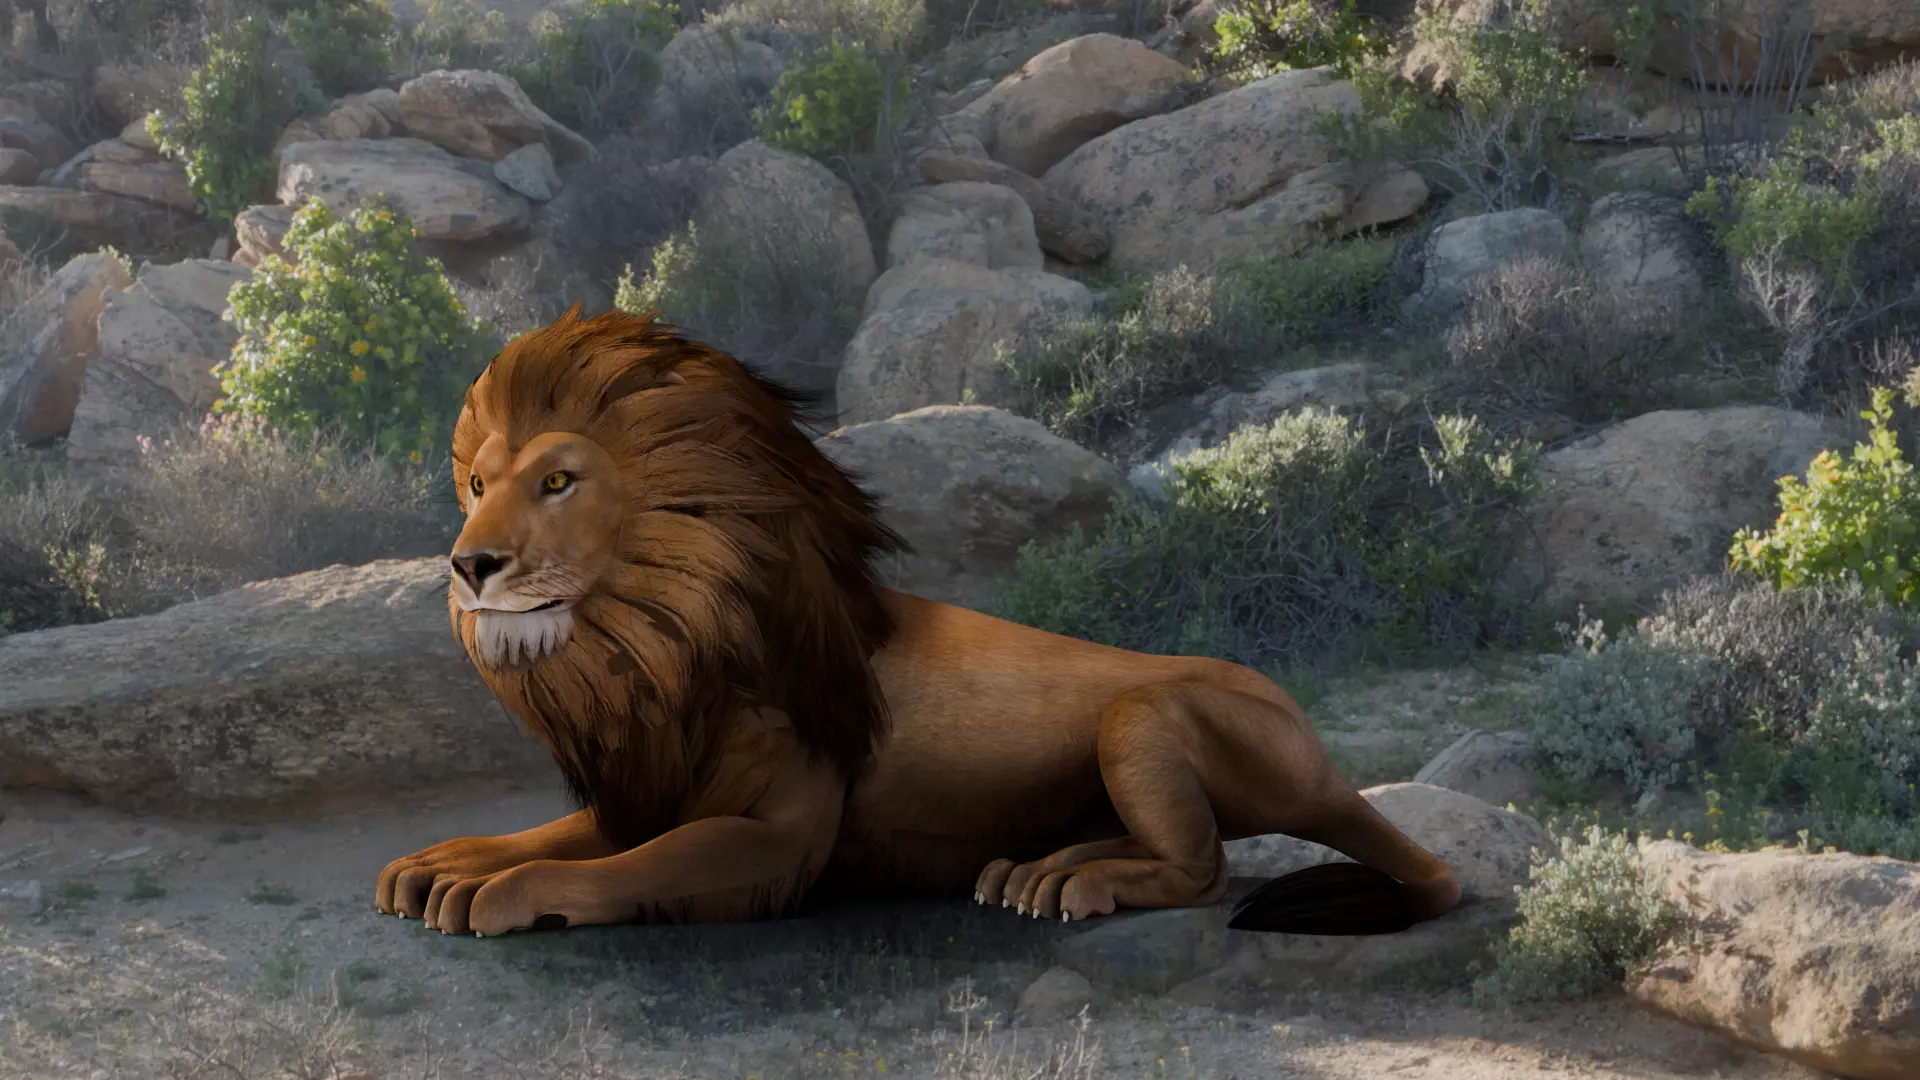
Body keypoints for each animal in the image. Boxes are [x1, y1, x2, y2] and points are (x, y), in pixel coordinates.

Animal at [374, 305, 1463, 938]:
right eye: (478, 486)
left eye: (558, 481)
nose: (469, 565)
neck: (660, 642)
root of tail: (1323, 756)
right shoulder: (652, 784)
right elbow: (558, 834)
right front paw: (440, 864)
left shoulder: (781, 843)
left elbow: (623, 869)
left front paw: (496, 893)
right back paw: (1042, 869)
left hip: (1148, 715)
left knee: (1205, 867)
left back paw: (1079, 887)